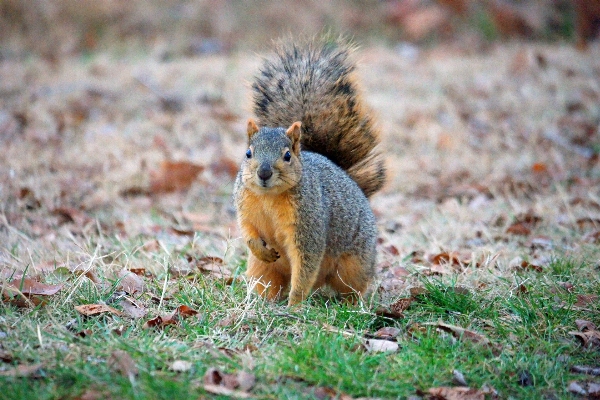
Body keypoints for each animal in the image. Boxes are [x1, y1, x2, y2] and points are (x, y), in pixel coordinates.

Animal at [232, 38, 386, 306]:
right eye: (248, 153)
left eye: (287, 156)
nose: (264, 173)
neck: (269, 197)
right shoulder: (246, 208)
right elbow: (248, 231)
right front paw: (259, 248)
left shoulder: (308, 226)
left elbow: (305, 265)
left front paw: (294, 305)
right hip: (262, 270)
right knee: (267, 281)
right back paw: (261, 302)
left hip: (353, 265)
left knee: (351, 286)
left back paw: (351, 305)